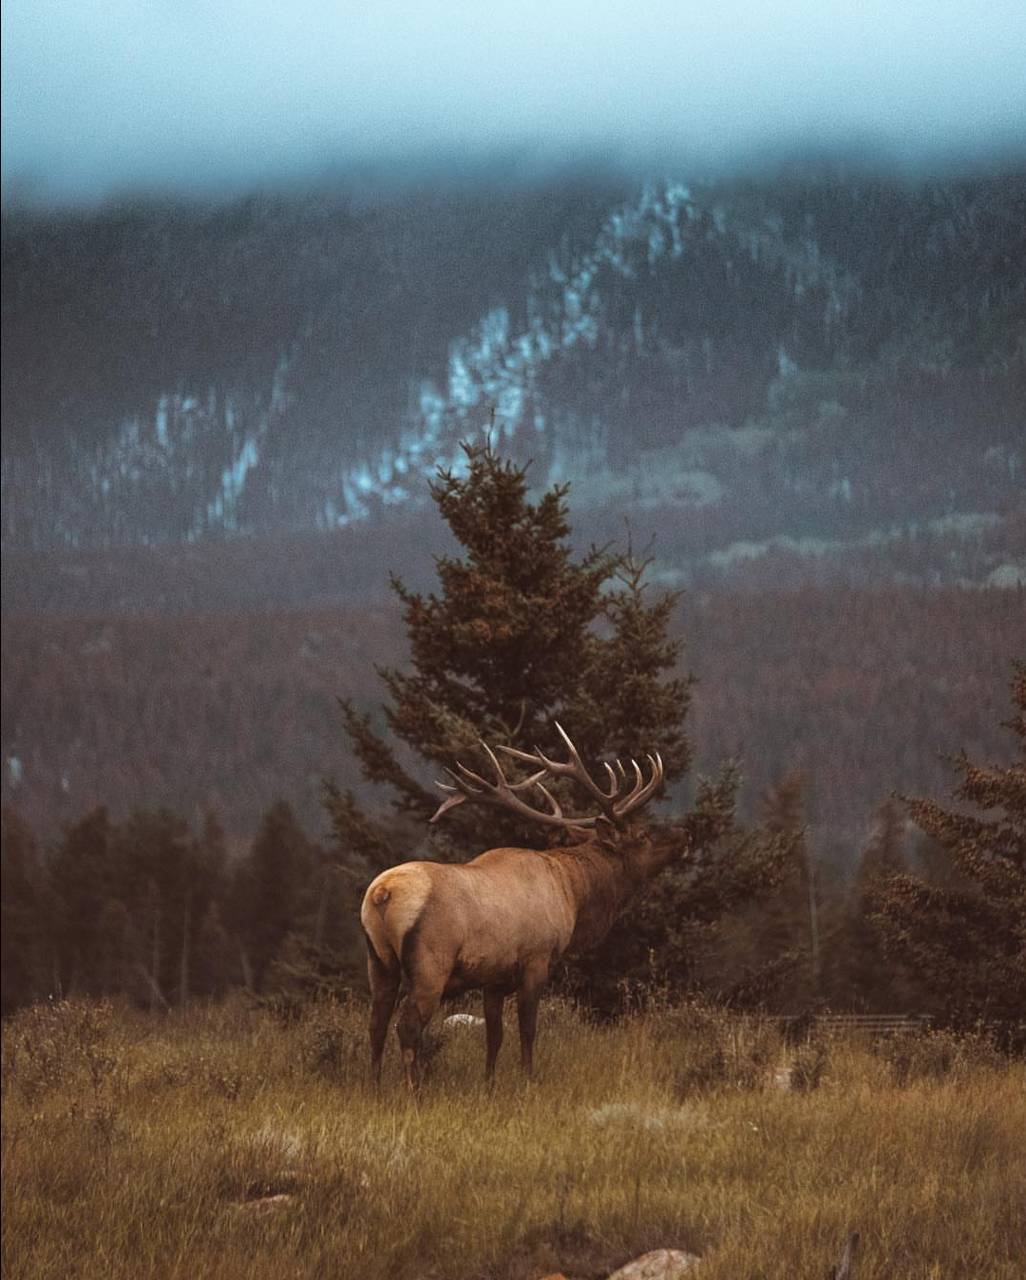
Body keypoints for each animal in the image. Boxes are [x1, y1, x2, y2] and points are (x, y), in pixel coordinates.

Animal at [360, 723, 689, 1088]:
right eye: (643, 835)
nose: (685, 834)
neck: (572, 895)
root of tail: (382, 893)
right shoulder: (536, 959)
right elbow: (528, 1031)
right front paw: (528, 1081)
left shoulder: (493, 979)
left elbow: (495, 1036)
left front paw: (489, 1085)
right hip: (431, 963)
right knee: (407, 1026)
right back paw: (414, 1090)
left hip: (379, 961)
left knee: (375, 1025)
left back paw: (374, 1088)